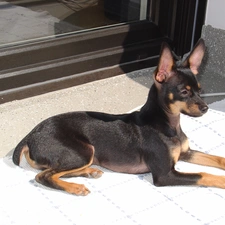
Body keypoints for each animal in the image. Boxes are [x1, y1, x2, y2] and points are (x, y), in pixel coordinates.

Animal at [12, 38, 225, 195]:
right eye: (184, 92)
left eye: (200, 90)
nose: (205, 108)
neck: (168, 124)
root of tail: (31, 135)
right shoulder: (164, 175)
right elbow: (204, 174)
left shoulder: (186, 153)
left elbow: (216, 159)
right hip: (84, 151)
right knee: (44, 176)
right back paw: (76, 187)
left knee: (53, 172)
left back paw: (89, 172)